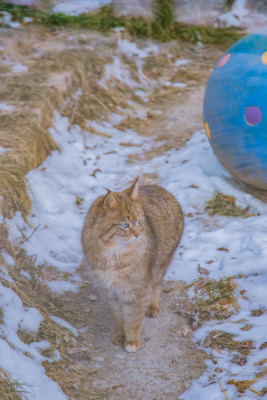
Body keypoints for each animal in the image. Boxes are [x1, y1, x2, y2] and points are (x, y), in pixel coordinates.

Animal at [81, 177, 184, 352]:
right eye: (125, 225)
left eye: (140, 221)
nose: (138, 234)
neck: (112, 254)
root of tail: (163, 189)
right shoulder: (109, 289)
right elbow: (119, 315)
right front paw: (119, 334)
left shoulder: (135, 289)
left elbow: (133, 318)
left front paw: (132, 341)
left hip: (161, 263)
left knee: (156, 284)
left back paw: (152, 306)